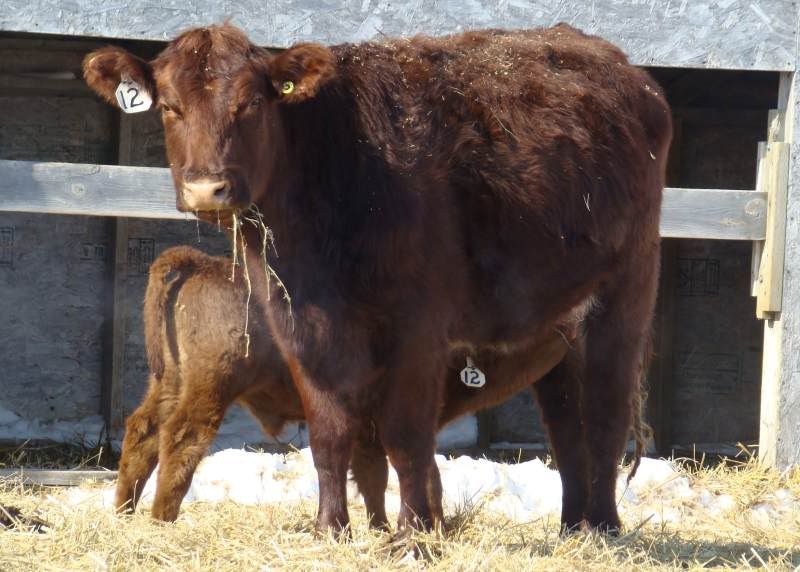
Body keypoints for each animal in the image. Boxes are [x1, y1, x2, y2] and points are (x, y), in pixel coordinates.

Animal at [121, 245, 570, 525]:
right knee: (183, 439)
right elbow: (417, 475)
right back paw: (162, 518)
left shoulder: (369, 427)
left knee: (143, 432)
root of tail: (201, 263)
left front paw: (383, 527)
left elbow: (376, 476)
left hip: (168, 382)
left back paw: (124, 512)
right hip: (211, 387)